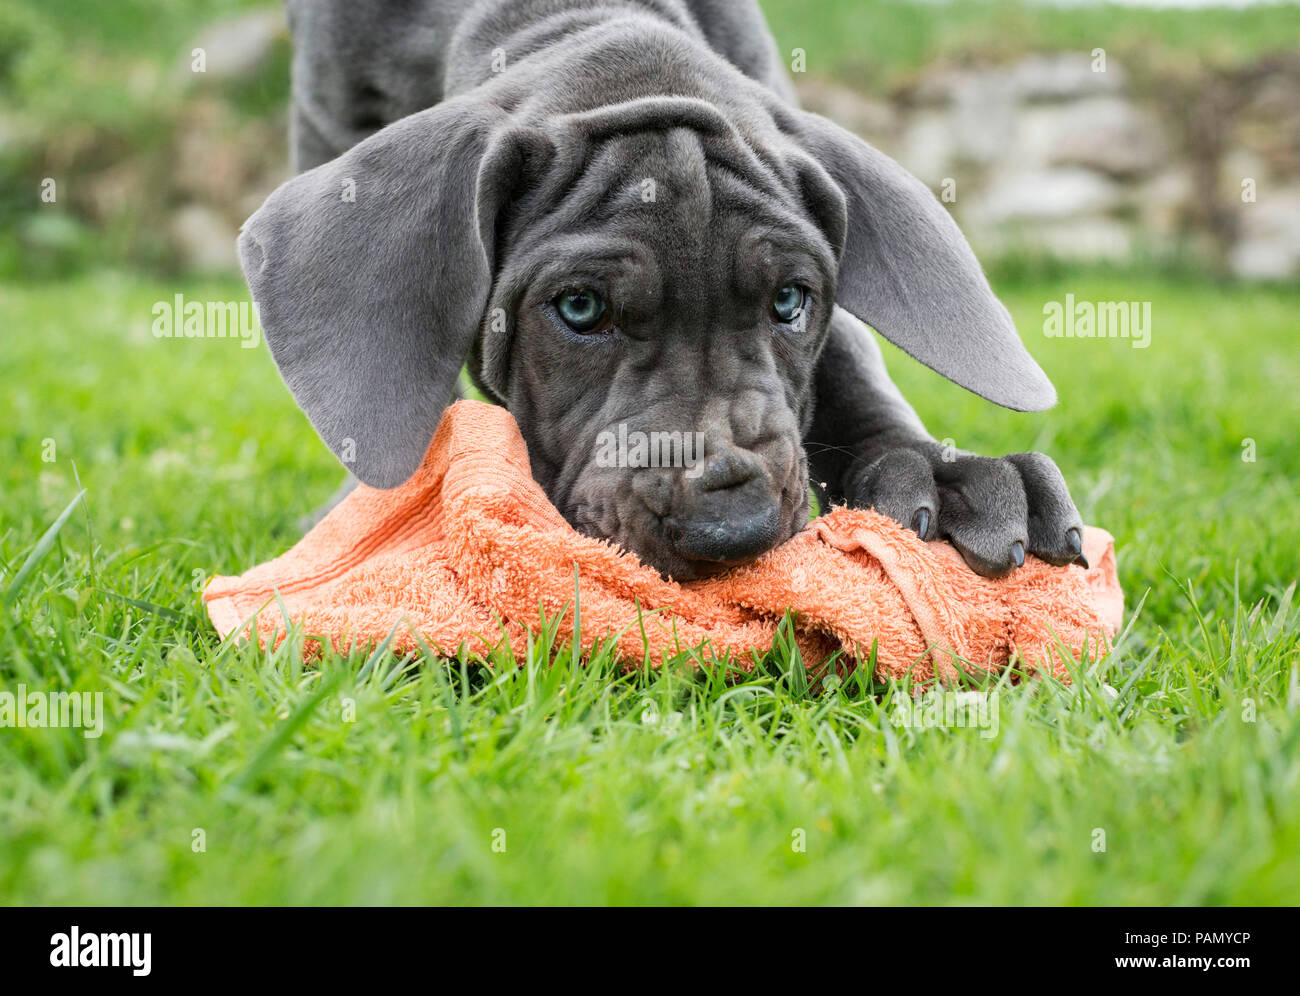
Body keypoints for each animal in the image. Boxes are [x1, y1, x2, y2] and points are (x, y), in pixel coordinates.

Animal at [241, 0, 1086, 582]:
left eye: (790, 302)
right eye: (580, 308)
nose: (733, 528)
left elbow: (848, 357)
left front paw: (934, 470)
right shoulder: (326, 114)